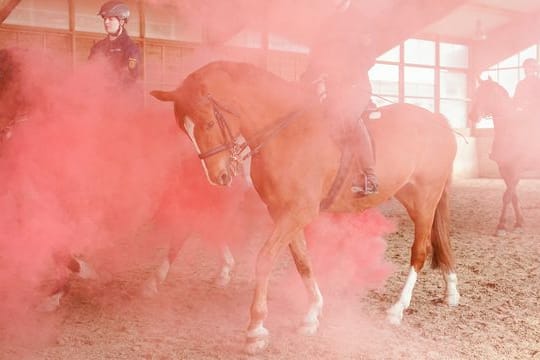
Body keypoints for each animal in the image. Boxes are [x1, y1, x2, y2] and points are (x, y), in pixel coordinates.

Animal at [152, 62, 460, 354]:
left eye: (207, 123)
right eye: (184, 129)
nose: (219, 177)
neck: (286, 132)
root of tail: (438, 120)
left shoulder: (298, 212)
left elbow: (264, 259)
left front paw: (255, 330)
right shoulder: (283, 212)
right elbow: (303, 260)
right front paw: (312, 314)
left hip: (425, 198)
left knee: (420, 250)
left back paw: (398, 308)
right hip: (413, 197)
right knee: (440, 240)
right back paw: (451, 291)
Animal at [468, 79, 540, 236]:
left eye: (488, 94)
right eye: (476, 93)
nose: (472, 116)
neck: (510, 130)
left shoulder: (516, 168)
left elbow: (507, 196)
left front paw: (501, 226)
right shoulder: (504, 169)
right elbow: (513, 196)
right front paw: (519, 223)